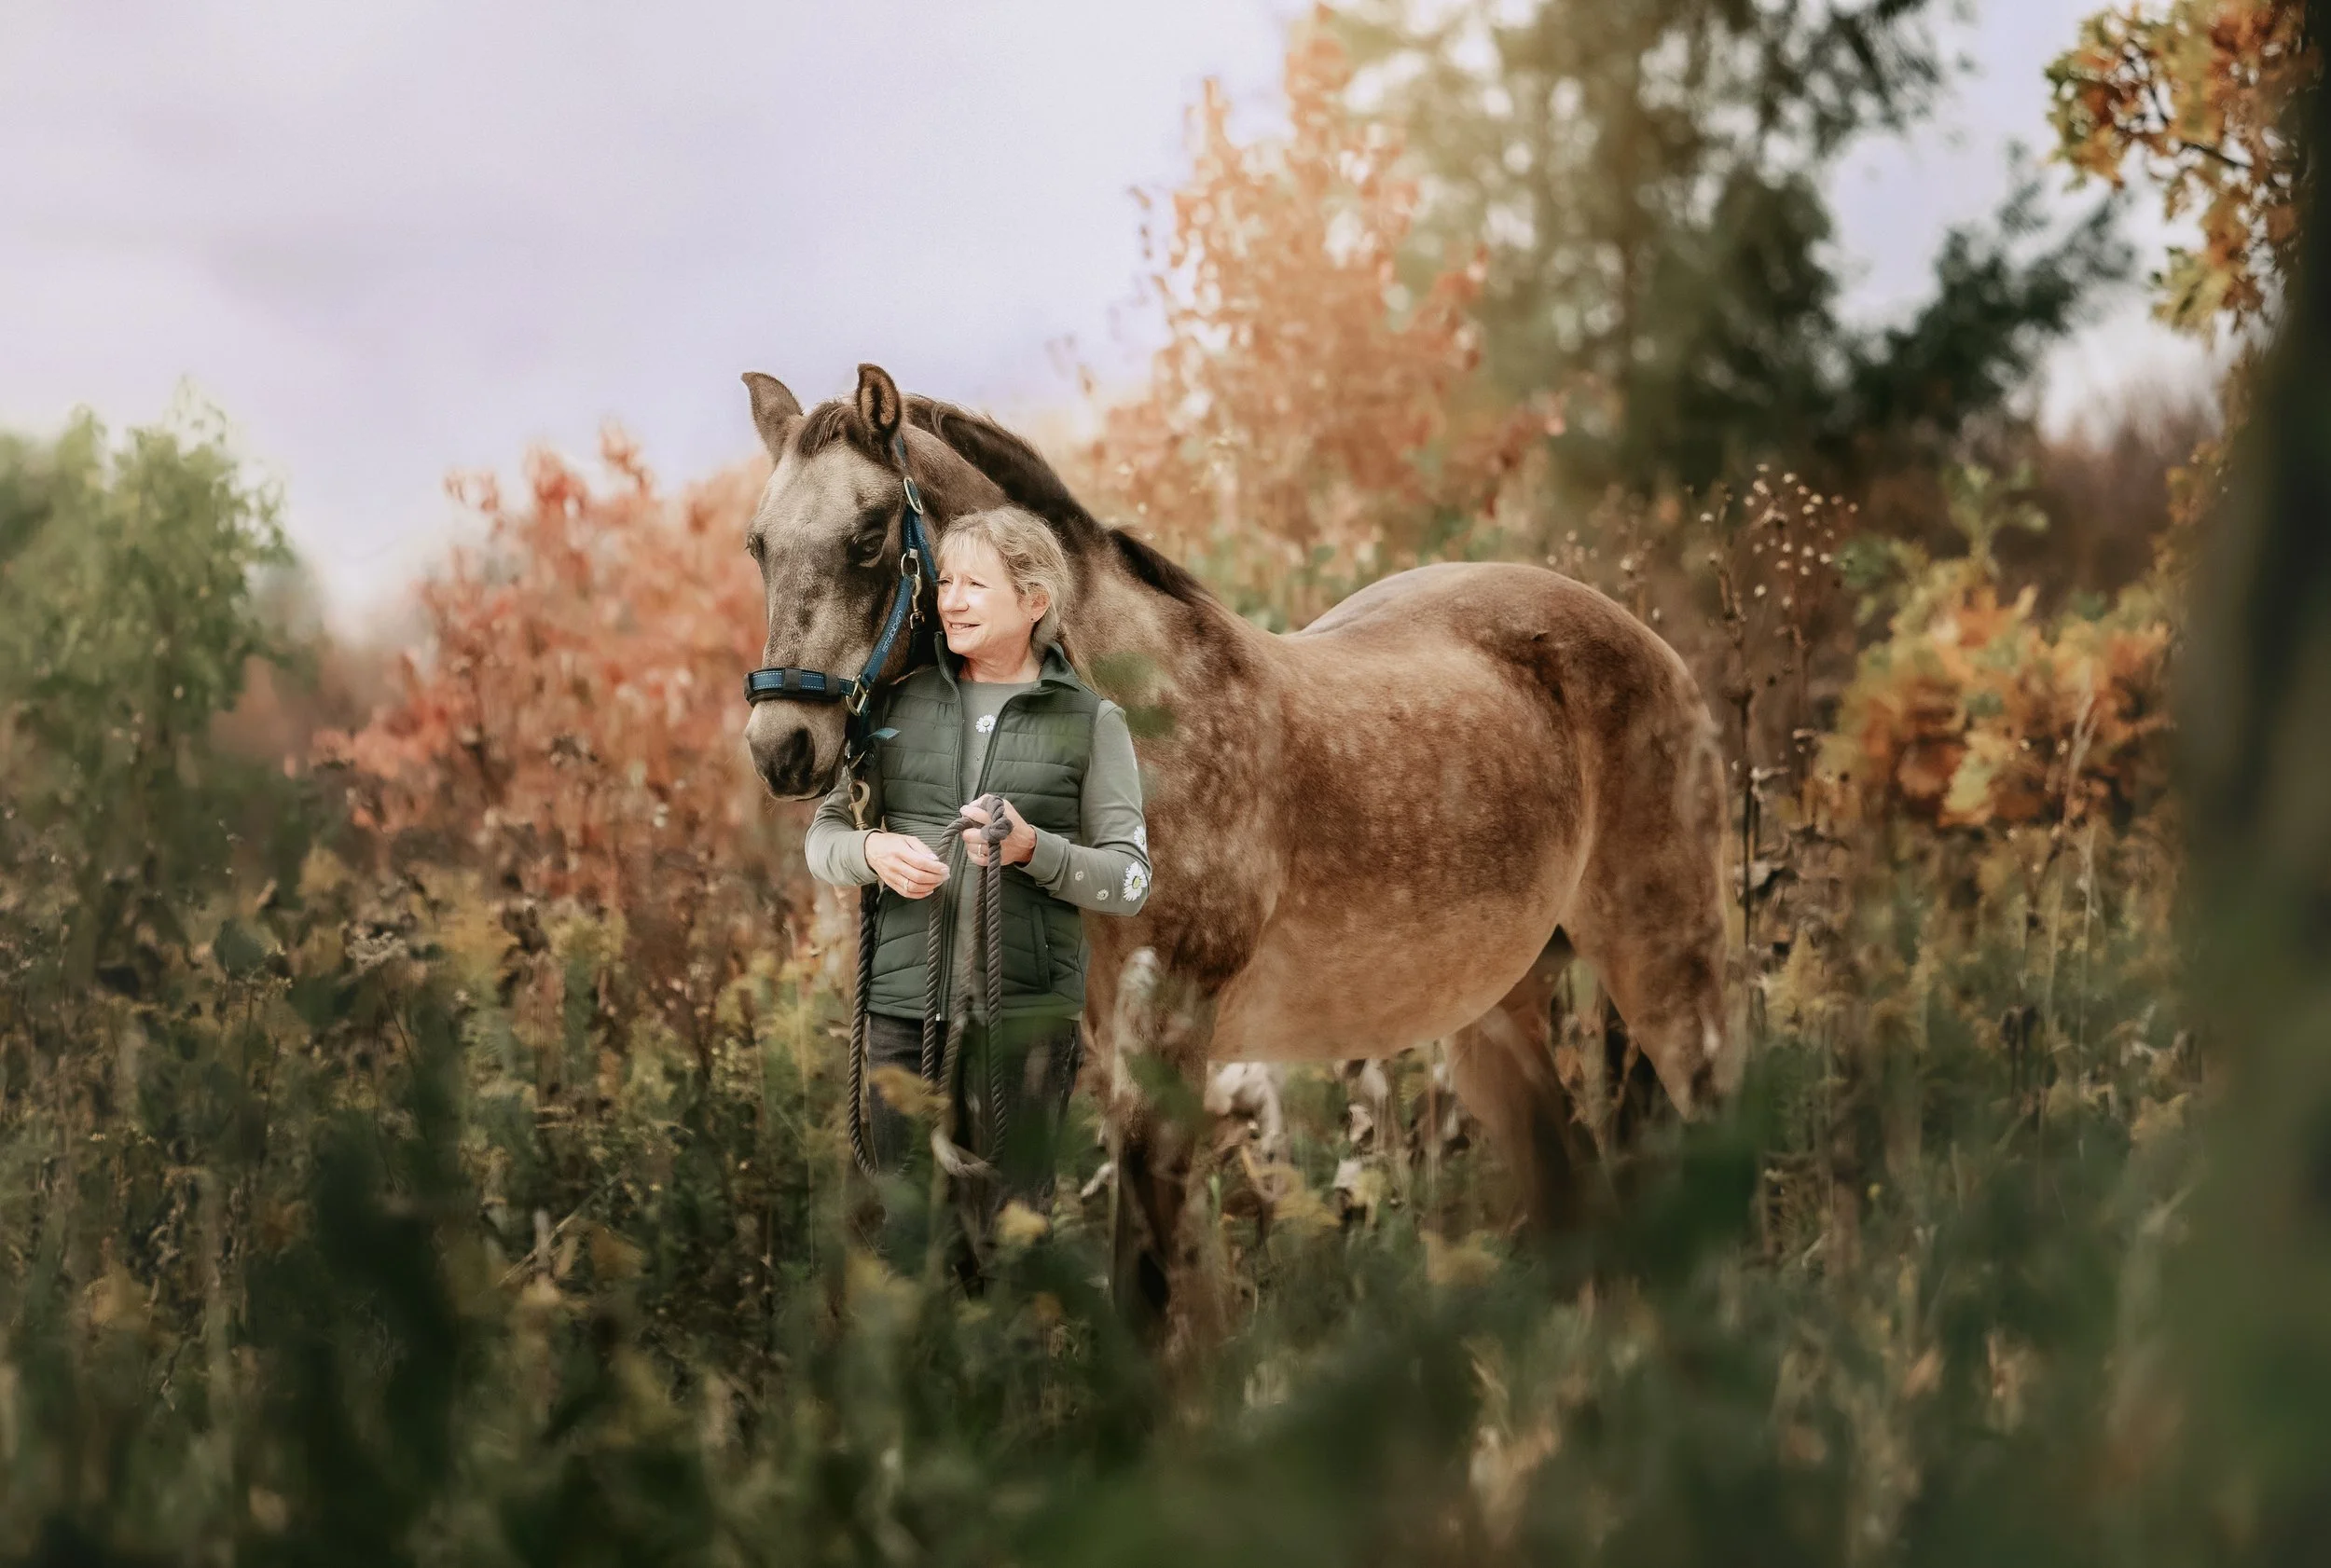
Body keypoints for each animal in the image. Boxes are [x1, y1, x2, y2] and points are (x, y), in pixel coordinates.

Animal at [739, 363, 1739, 1322]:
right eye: (760, 545)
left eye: (870, 532)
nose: (781, 747)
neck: (1152, 728)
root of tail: (1648, 644)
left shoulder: (1167, 1040)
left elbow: (1146, 1296)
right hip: (1496, 1014)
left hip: (1666, 975)